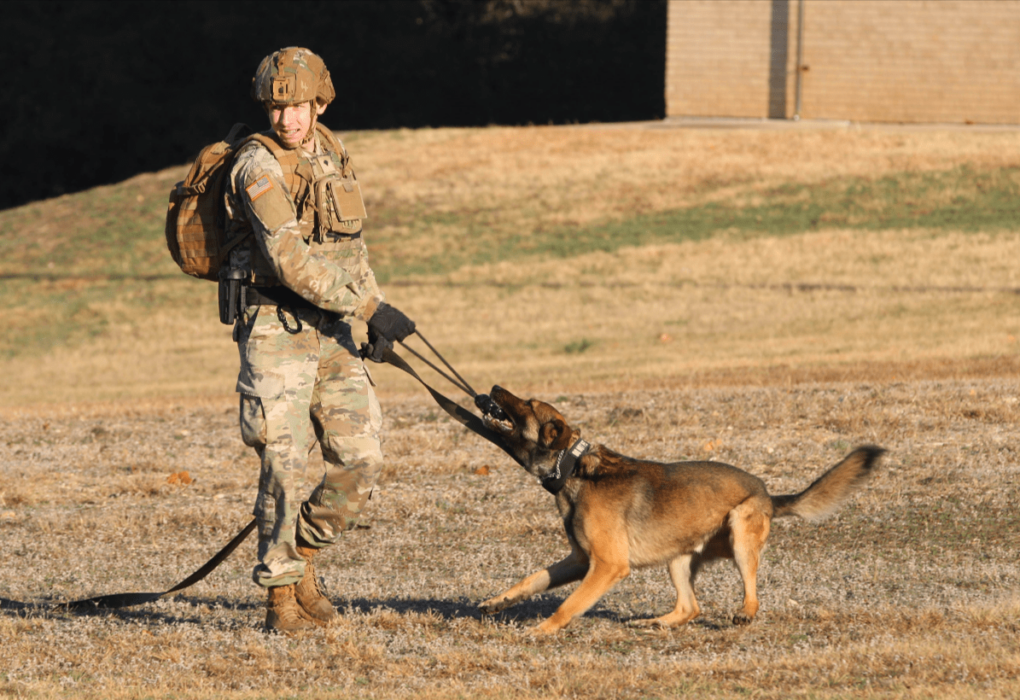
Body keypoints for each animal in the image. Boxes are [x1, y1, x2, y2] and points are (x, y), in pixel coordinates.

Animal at [477, 385, 885, 640]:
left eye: (528, 404)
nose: (493, 388)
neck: (574, 468)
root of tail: (768, 494)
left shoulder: (607, 566)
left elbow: (568, 604)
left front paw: (543, 629)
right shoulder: (580, 561)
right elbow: (532, 579)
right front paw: (498, 602)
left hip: (739, 531)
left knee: (750, 591)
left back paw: (745, 613)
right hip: (678, 558)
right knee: (690, 608)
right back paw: (657, 623)